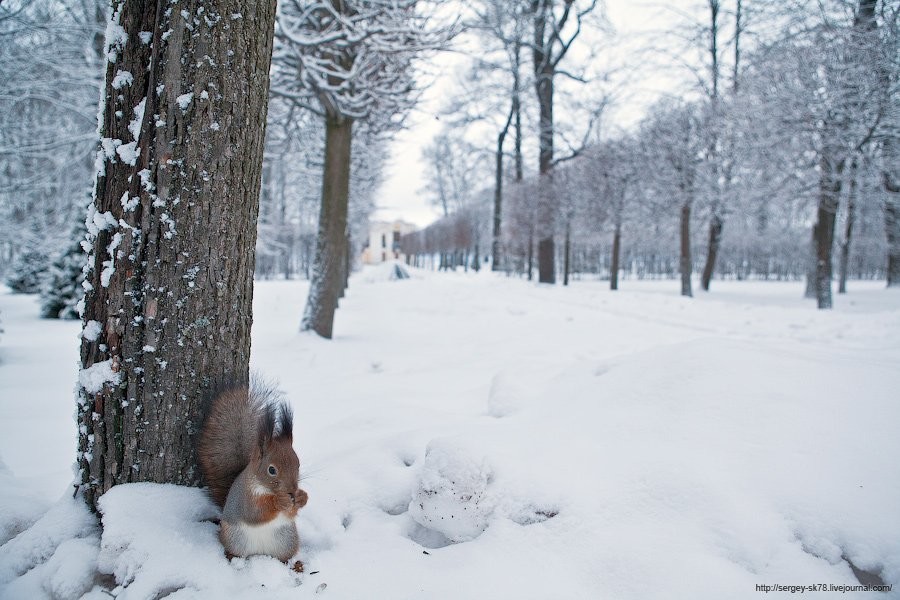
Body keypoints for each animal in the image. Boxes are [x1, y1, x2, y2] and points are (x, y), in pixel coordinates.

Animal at [197, 382, 310, 564]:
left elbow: (291, 514)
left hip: (287, 540)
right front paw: (279, 501)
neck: (267, 490)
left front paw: (302, 497)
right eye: (271, 470)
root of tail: (260, 553)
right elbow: (255, 513)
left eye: (298, 464)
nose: (292, 490)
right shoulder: (246, 497)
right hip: (234, 538)